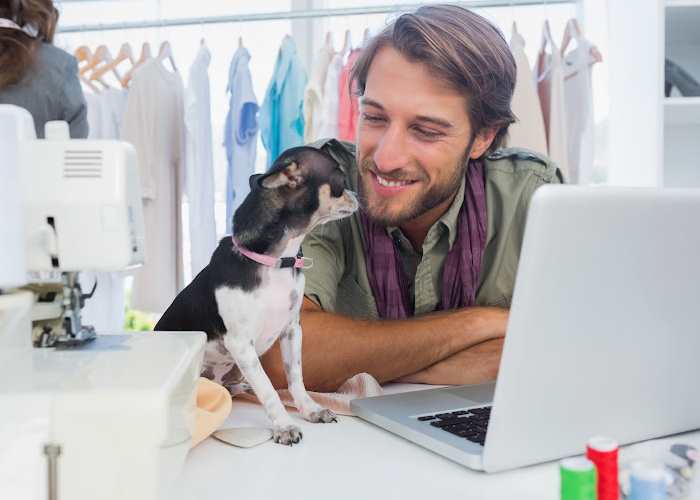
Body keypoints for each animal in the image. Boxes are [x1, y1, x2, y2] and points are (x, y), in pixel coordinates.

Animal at [155, 147, 358, 446]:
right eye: (341, 181)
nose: (357, 195)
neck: (274, 263)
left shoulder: (291, 331)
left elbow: (295, 377)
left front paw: (309, 409)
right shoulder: (241, 344)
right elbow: (268, 388)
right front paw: (284, 425)